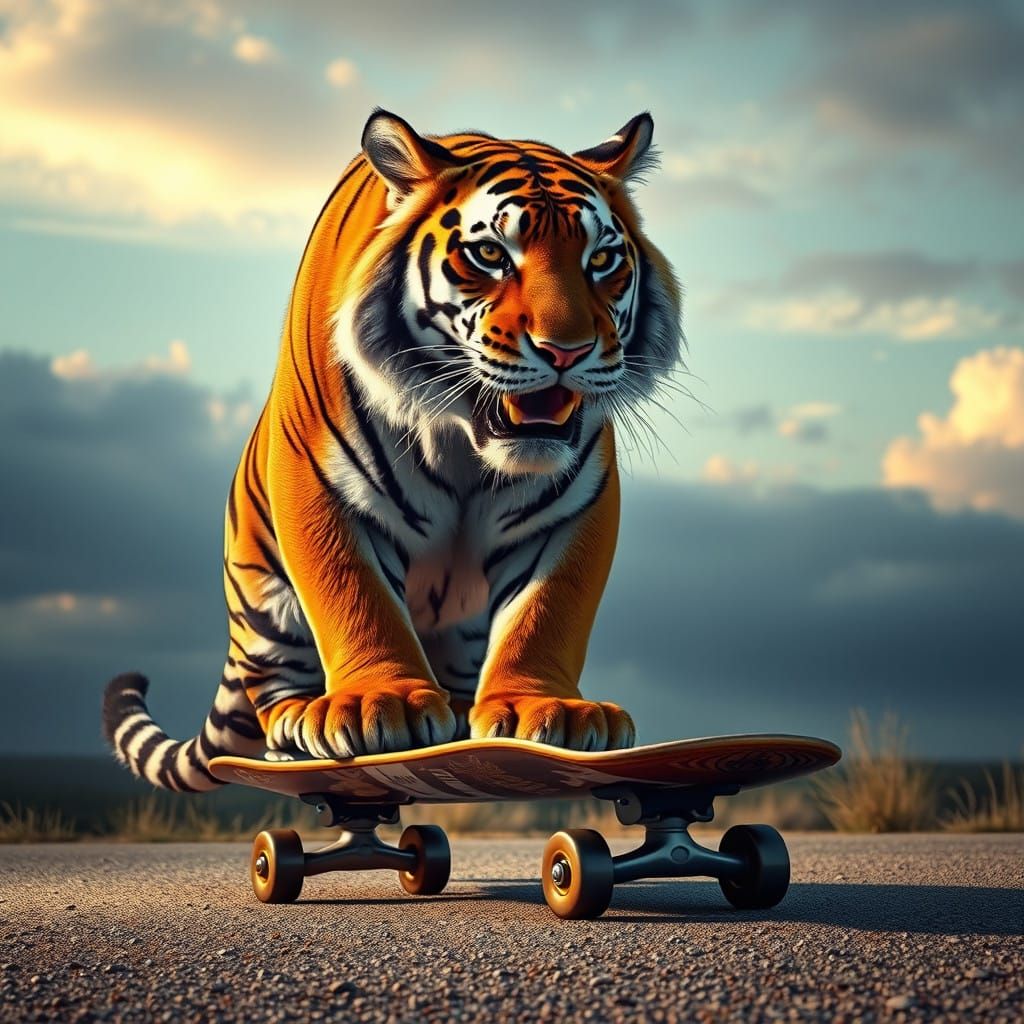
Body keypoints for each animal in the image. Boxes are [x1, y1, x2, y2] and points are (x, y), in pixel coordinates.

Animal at [102, 109, 682, 791]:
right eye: (491, 254)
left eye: (602, 260)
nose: (566, 351)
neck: (464, 441)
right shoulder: (316, 476)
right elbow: (353, 591)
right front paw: (378, 703)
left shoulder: (576, 502)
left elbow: (548, 610)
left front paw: (543, 708)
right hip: (266, 600)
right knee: (273, 690)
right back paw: (302, 718)